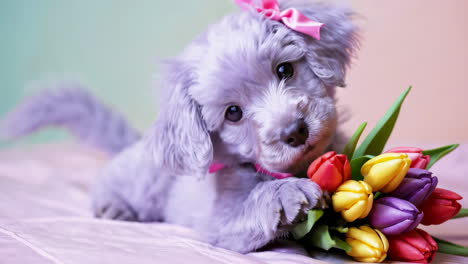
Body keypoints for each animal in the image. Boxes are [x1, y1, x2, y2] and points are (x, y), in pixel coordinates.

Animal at [0, 0, 358, 253]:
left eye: (285, 70)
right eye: (233, 113)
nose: (294, 131)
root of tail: (138, 141)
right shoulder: (220, 224)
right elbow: (256, 201)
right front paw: (288, 192)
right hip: (141, 183)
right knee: (107, 182)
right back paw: (114, 207)